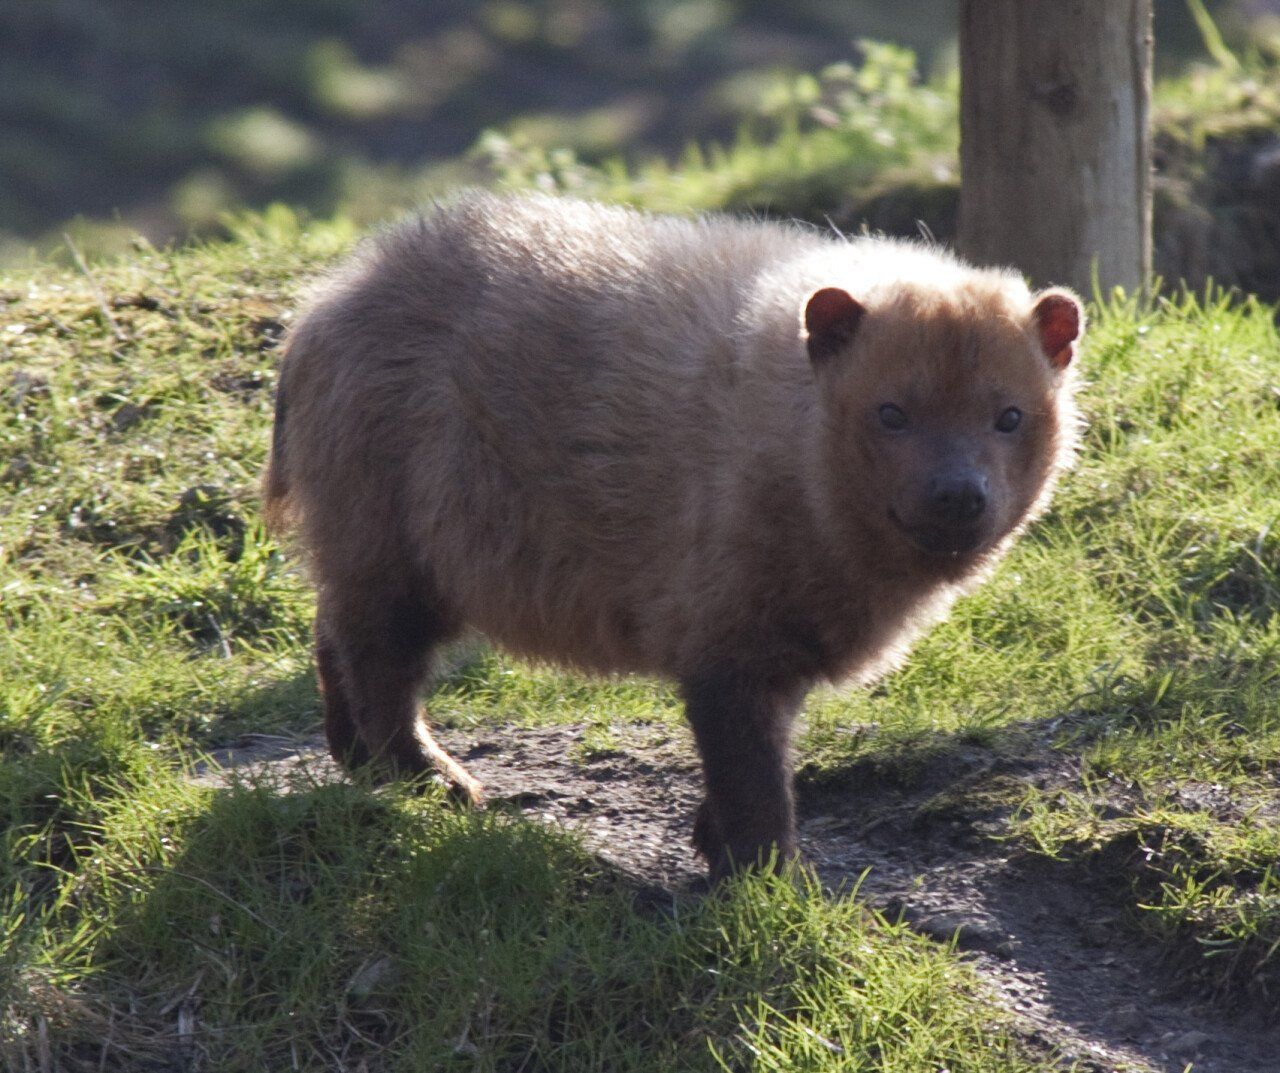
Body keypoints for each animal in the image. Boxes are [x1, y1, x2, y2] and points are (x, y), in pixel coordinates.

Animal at [264, 193, 1085, 880]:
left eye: (1009, 416)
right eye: (891, 412)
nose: (957, 497)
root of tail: (321, 308)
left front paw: (717, 844)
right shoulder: (728, 612)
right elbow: (749, 765)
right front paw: (765, 878)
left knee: (337, 621)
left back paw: (354, 754)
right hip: (400, 510)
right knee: (381, 650)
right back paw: (427, 778)